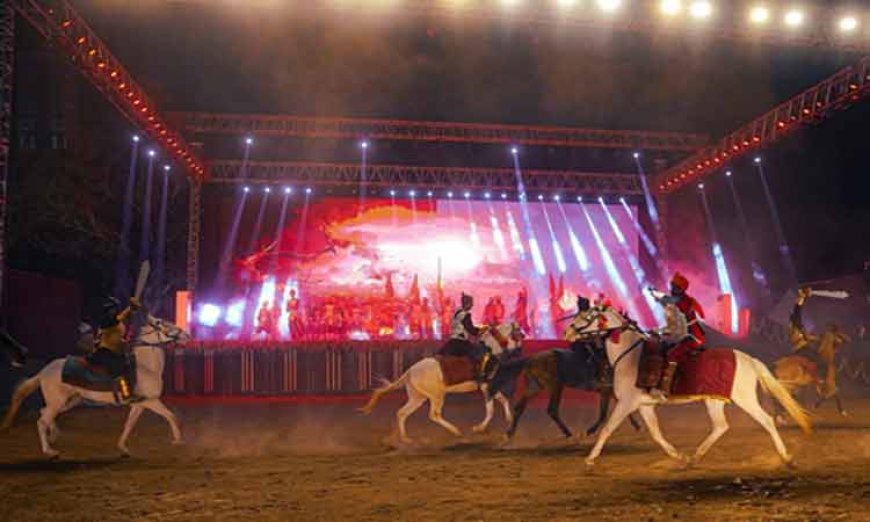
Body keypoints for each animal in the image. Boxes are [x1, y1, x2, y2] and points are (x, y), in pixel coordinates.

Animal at [1, 315, 190, 458]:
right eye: (161, 323)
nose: (187, 335)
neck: (146, 367)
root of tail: (44, 371)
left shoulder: (139, 405)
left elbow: (129, 425)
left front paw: (123, 448)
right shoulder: (150, 401)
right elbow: (171, 416)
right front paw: (177, 440)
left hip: (70, 401)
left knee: (44, 414)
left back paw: (53, 435)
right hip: (58, 401)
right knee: (42, 421)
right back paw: (50, 451)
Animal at [359, 322, 523, 444]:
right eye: (517, 332)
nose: (520, 349)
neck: (489, 352)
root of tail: (410, 371)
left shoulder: (491, 387)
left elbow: (503, 400)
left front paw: (509, 420)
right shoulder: (486, 387)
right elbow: (490, 410)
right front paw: (478, 428)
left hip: (418, 397)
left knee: (401, 413)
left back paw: (406, 439)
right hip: (437, 395)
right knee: (434, 414)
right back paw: (456, 432)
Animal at [570, 305, 811, 467]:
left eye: (587, 317)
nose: (568, 332)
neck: (631, 355)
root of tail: (749, 360)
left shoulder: (627, 403)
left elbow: (607, 429)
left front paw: (590, 459)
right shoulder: (644, 405)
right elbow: (656, 433)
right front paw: (679, 456)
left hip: (745, 399)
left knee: (766, 420)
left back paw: (786, 457)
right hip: (714, 400)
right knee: (720, 426)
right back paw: (695, 457)